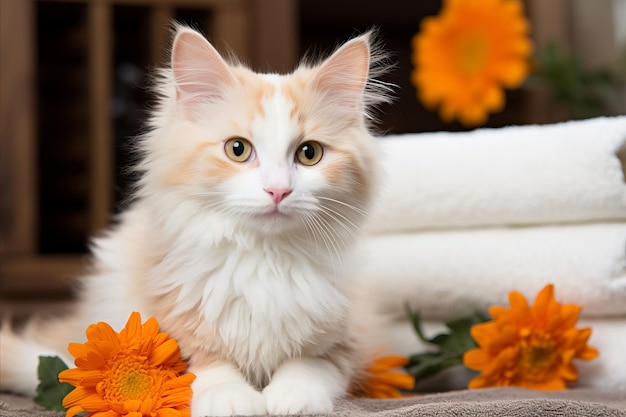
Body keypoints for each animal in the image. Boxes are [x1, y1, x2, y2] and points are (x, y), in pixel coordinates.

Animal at [0, 26, 390, 416]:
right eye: (238, 149)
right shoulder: (172, 319)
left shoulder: (347, 329)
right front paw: (232, 398)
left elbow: (311, 364)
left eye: (309, 154)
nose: (278, 190)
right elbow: (206, 364)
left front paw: (292, 396)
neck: (264, 259)